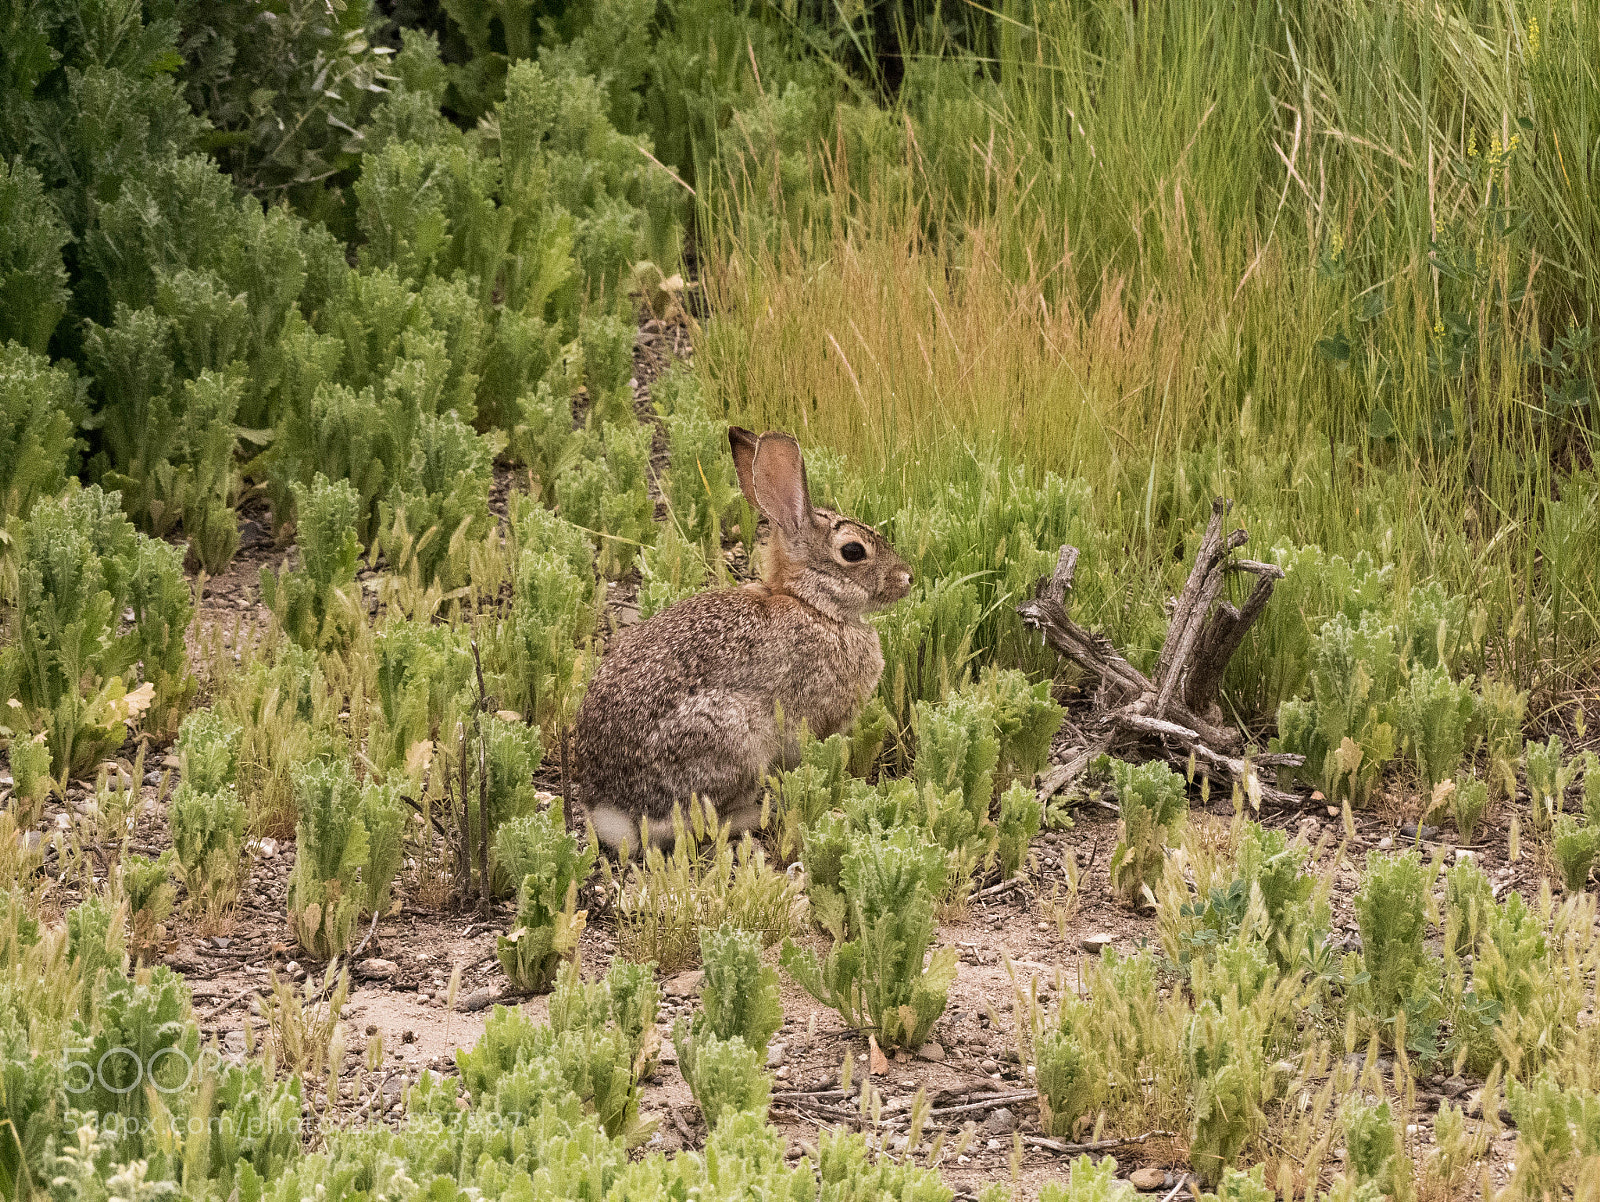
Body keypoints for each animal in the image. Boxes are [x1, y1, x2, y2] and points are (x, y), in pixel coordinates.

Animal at [574, 425, 913, 854]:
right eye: (853, 551)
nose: (907, 578)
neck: (814, 606)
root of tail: (613, 809)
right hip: (731, 740)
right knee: (689, 825)